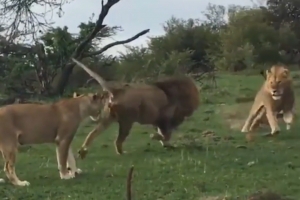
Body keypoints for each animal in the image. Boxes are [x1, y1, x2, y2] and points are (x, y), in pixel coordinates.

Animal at [71, 58, 199, 158]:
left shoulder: (160, 121)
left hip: (109, 119)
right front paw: (156, 138)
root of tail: (117, 91)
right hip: (127, 121)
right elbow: (164, 135)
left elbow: (165, 135)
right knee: (117, 140)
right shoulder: (165, 120)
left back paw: (82, 152)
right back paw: (122, 153)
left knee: (91, 134)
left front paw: (165, 144)